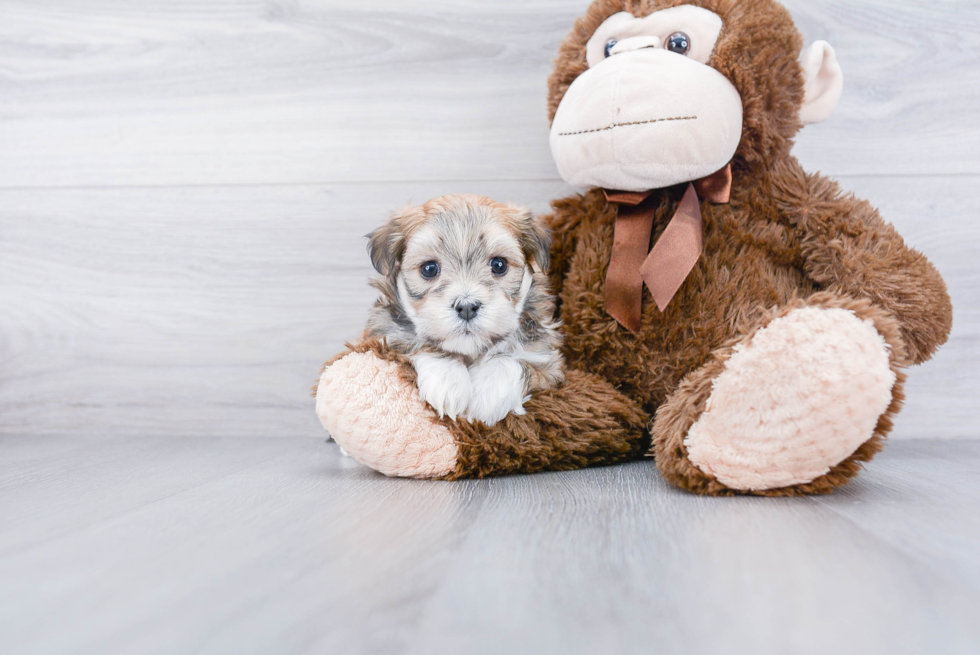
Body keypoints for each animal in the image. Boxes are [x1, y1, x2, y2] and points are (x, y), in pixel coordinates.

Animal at [366, 192, 568, 428]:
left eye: (499, 265)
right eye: (429, 268)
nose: (467, 307)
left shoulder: (548, 362)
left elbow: (512, 358)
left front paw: (487, 396)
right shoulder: (383, 337)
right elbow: (417, 343)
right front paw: (447, 381)